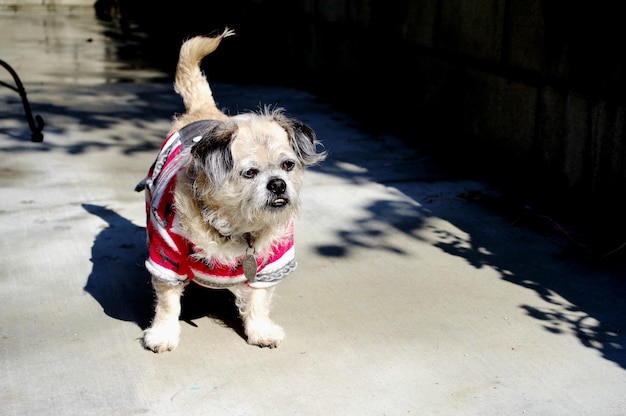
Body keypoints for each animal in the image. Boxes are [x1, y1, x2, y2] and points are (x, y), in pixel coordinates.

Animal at [135, 29, 324, 352]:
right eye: (250, 173)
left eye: (287, 165)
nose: (278, 184)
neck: (238, 228)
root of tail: (203, 111)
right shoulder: (166, 258)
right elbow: (168, 303)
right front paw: (163, 333)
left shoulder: (268, 266)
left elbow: (258, 301)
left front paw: (260, 330)